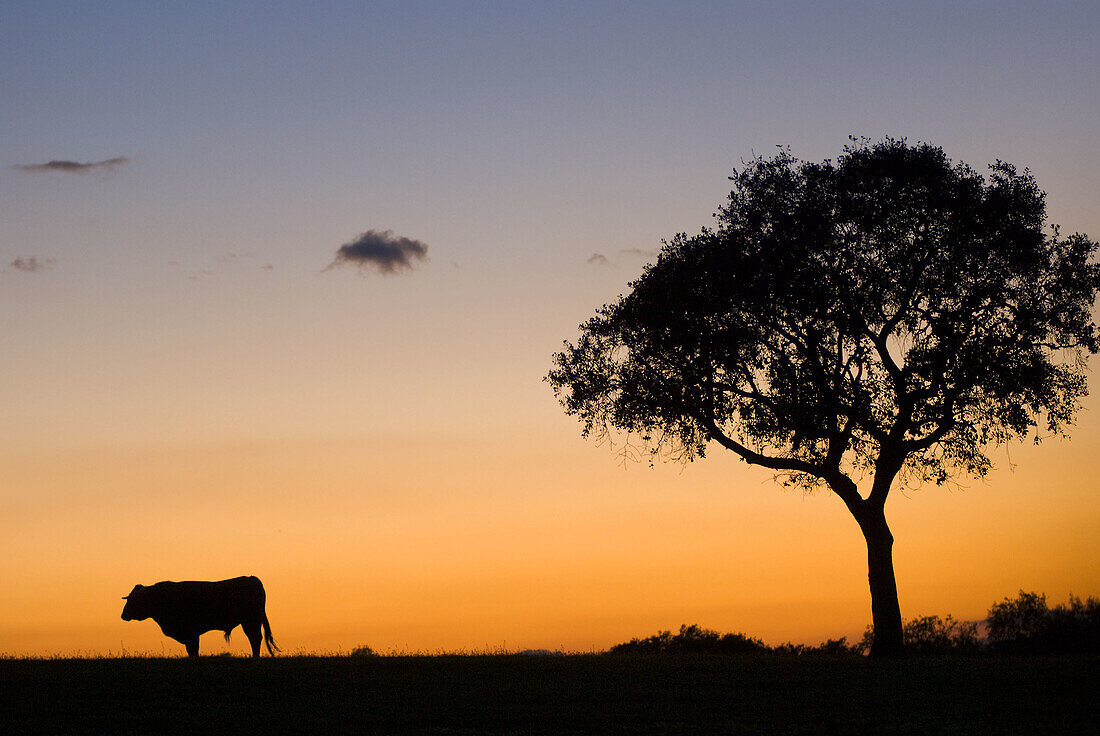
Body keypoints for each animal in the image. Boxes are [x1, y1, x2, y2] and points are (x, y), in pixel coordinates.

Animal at [121, 572, 279, 655]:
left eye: (133, 600)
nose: (123, 615)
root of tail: (251, 578)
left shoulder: (191, 633)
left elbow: (193, 650)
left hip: (251, 621)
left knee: (255, 639)